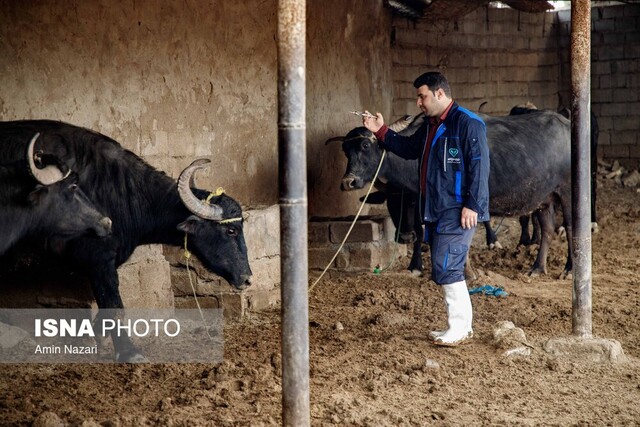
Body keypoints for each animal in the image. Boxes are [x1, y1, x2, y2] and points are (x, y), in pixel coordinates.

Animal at [0, 119, 254, 362]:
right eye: (231, 230)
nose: (247, 278)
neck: (124, 192)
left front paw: (97, 334)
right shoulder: (99, 259)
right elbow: (115, 308)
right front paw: (128, 351)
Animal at [338, 109, 572, 278]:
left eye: (365, 145)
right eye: (345, 150)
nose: (348, 181)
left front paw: (465, 273)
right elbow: (425, 233)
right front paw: (421, 267)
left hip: (568, 192)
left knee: (570, 228)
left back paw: (568, 269)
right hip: (545, 197)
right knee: (548, 229)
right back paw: (537, 268)